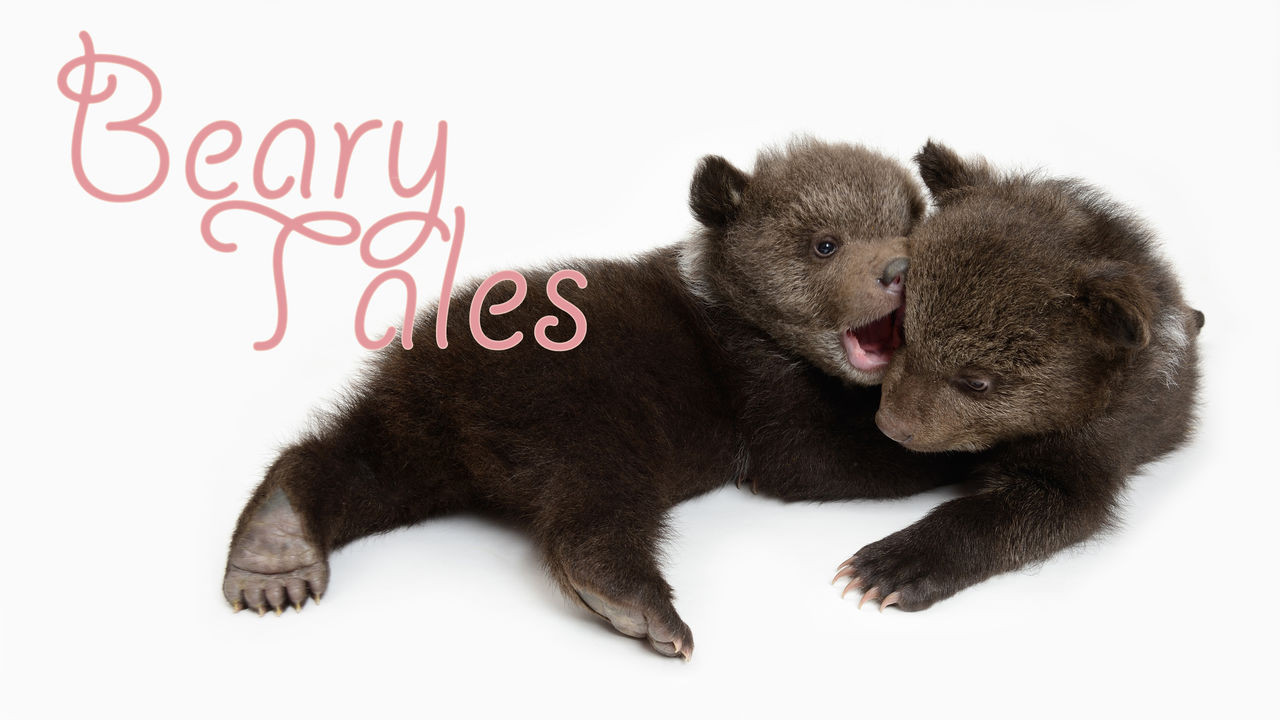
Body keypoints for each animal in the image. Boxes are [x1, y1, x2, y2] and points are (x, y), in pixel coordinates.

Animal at [222, 138, 964, 659]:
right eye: (825, 243)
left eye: (908, 225)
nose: (898, 270)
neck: (749, 319)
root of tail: (457, 389)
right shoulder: (751, 379)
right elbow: (812, 458)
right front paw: (958, 452)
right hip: (582, 408)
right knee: (599, 501)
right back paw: (637, 602)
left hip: (421, 427)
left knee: (365, 465)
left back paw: (274, 548)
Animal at [833, 141, 1203, 611]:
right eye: (904, 329)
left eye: (977, 380)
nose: (891, 425)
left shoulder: (1097, 441)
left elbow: (1042, 505)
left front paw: (892, 564)